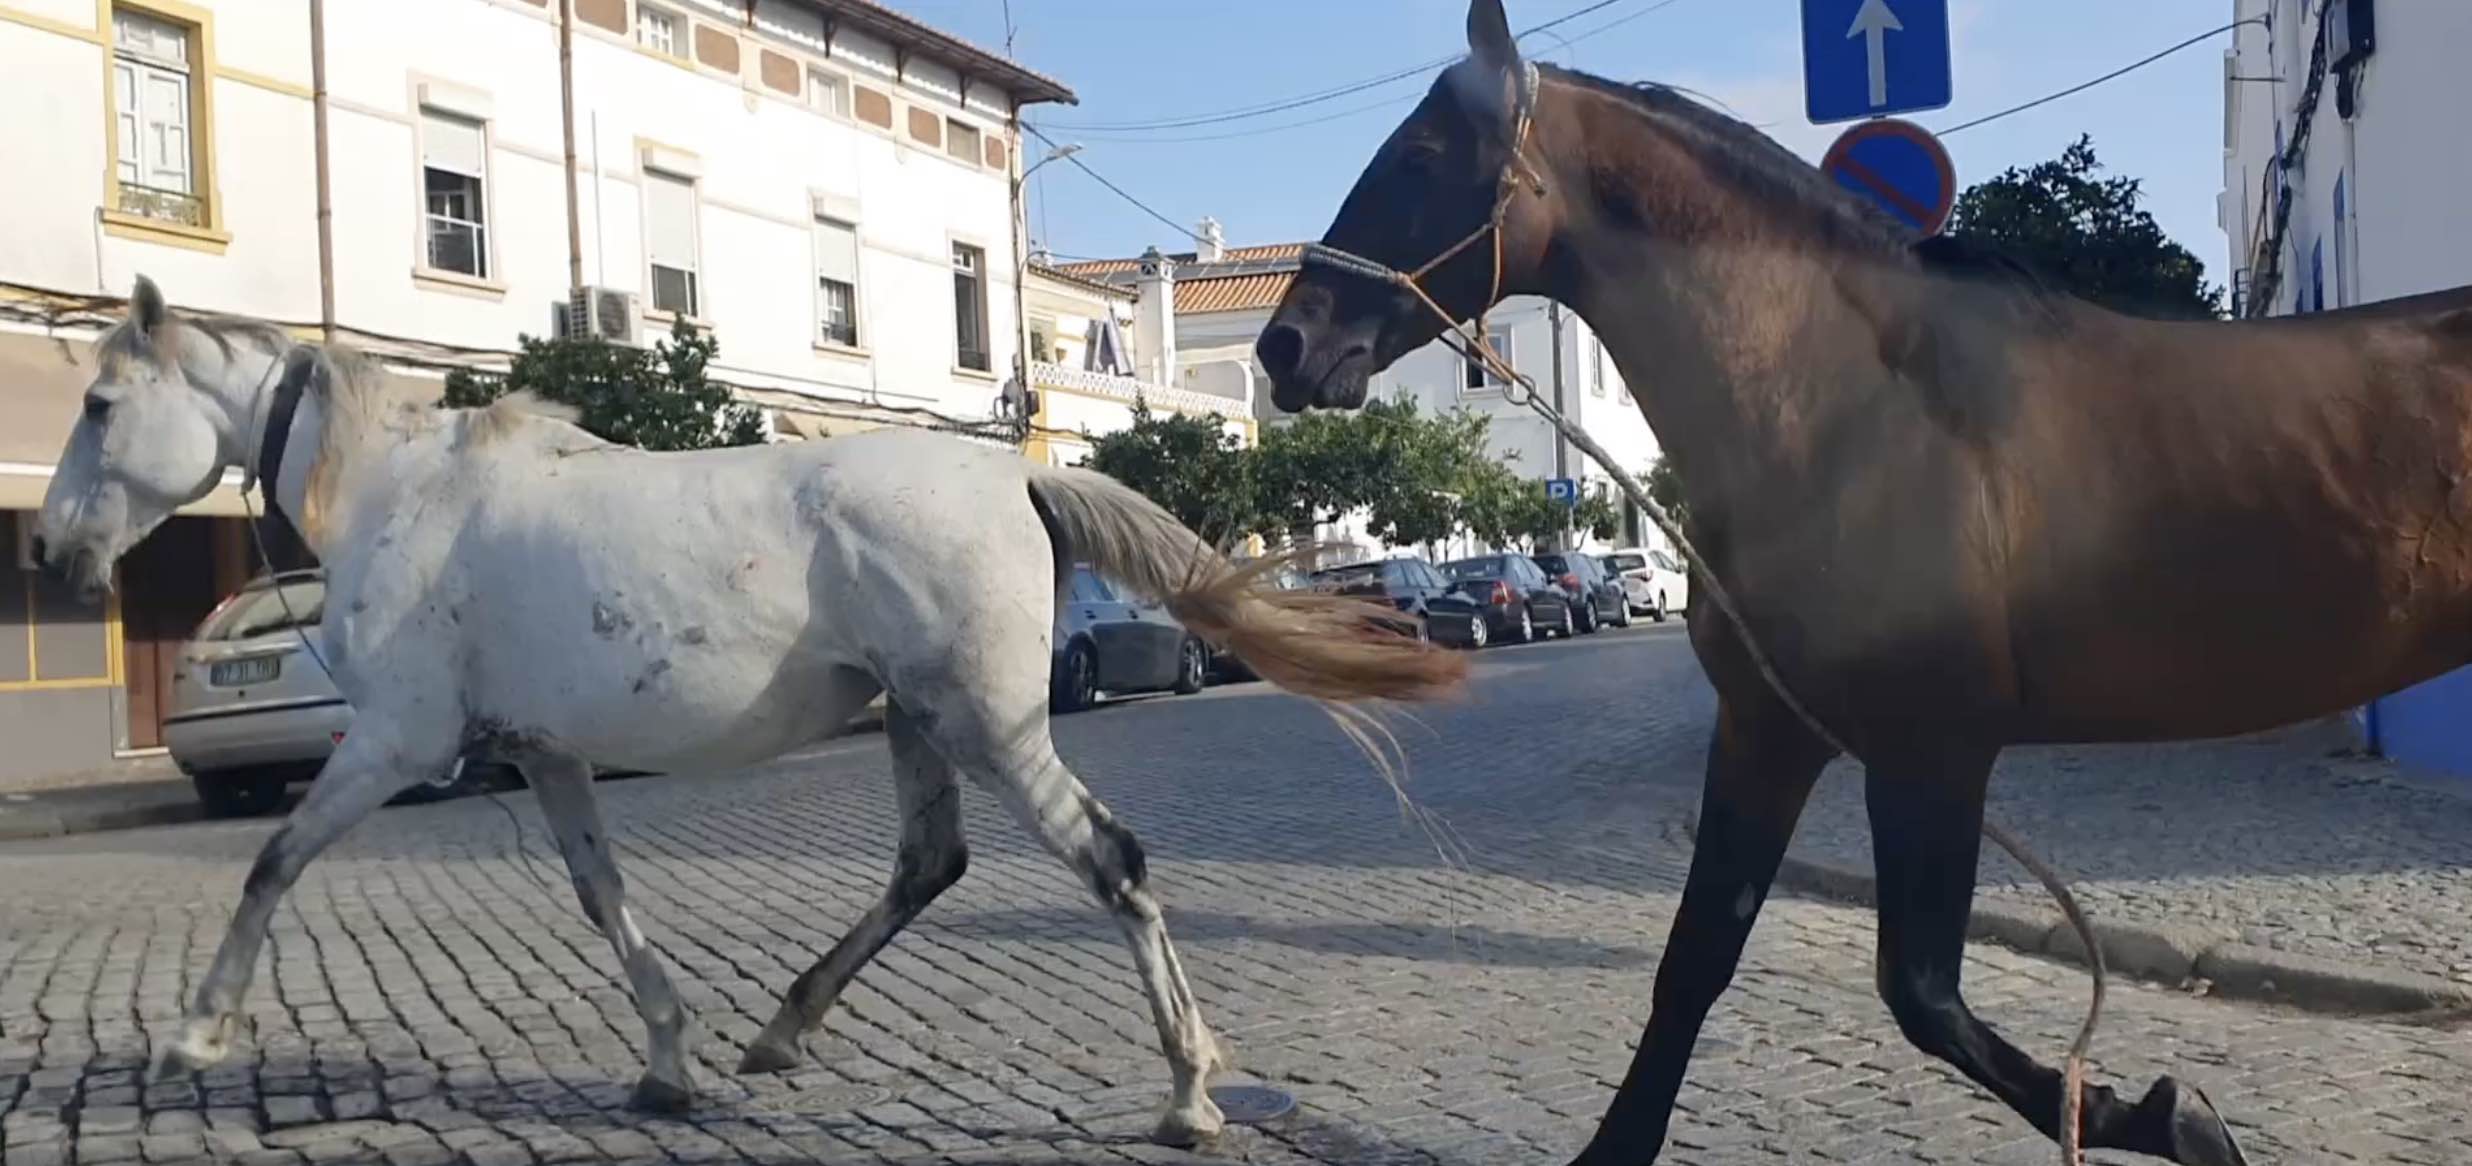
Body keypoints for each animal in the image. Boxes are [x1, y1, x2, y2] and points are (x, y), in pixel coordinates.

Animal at [33, 277, 1463, 1141]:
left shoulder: (393, 742)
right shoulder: (544, 755)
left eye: (101, 404)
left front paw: (196, 1031)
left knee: (1112, 863)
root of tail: (1014, 478)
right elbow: (604, 899)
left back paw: (1188, 1090)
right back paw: (780, 1030)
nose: (50, 550)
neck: (407, 494)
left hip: (988, 726)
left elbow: (271, 860)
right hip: (919, 724)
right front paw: (667, 1058)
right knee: (929, 862)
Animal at [1255, 2, 2472, 1166]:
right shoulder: (1770, 730)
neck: (1847, 412)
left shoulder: (1931, 750)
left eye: (1421, 153)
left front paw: (2175, 1116)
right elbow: (1695, 961)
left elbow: (1921, 994)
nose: (1284, 347)